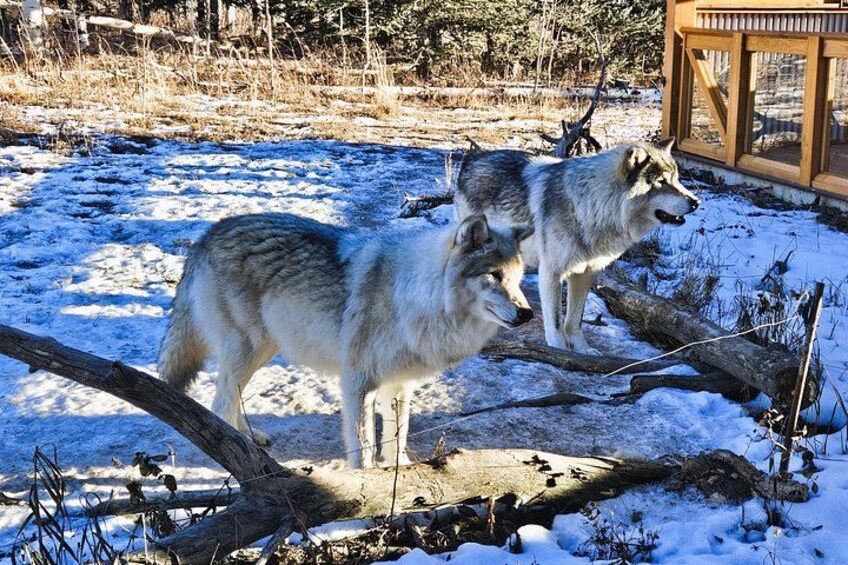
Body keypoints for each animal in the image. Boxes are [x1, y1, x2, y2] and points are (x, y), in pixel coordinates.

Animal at [158, 212, 534, 468]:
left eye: (517, 279)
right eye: (494, 275)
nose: (527, 313)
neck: (417, 295)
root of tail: (209, 233)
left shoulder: (399, 385)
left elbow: (396, 439)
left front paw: (402, 476)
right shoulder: (359, 384)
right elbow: (363, 447)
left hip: (263, 349)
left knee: (228, 399)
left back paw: (250, 441)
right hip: (248, 348)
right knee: (221, 402)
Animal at [455, 138, 699, 354]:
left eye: (677, 179)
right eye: (661, 182)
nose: (696, 202)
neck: (589, 205)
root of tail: (474, 158)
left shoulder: (585, 273)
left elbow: (575, 321)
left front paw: (582, 351)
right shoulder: (551, 273)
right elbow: (555, 322)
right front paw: (560, 353)